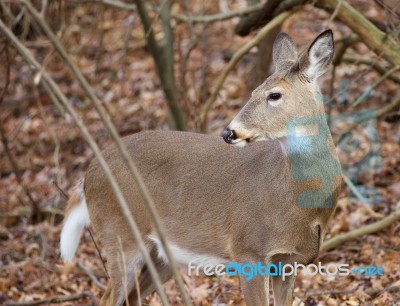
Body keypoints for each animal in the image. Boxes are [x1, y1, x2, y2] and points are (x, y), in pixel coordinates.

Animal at [61, 29, 342, 306]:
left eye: (274, 95)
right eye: (253, 92)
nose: (229, 132)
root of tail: (87, 175)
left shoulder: (290, 261)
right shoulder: (248, 248)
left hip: (160, 253)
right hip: (120, 232)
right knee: (108, 297)